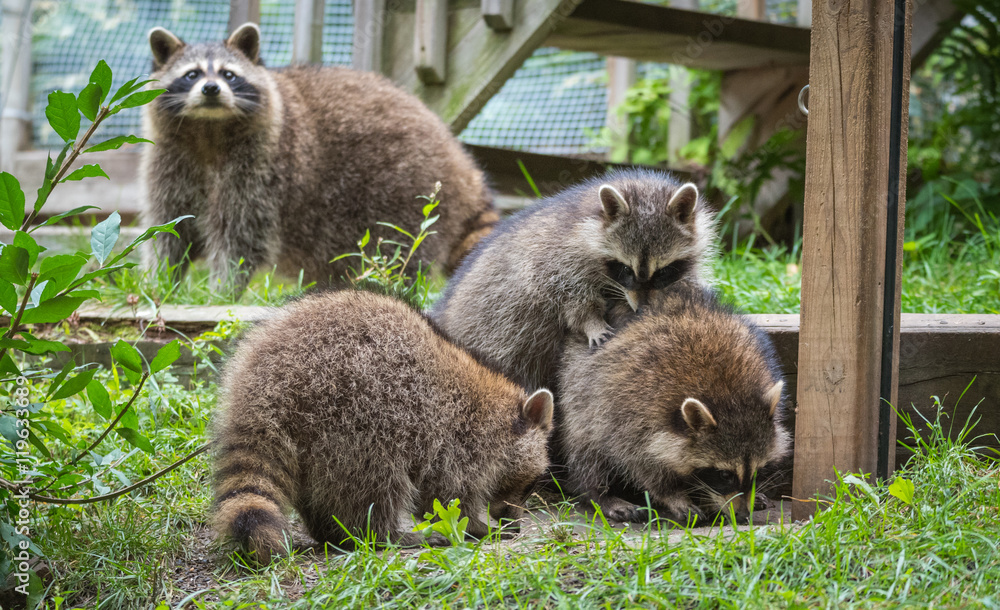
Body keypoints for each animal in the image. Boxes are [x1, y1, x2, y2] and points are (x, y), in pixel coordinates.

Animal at [142, 23, 498, 295]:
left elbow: (240, 238)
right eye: (191, 75)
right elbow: (169, 226)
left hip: (409, 192)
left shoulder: (264, 166)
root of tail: (461, 163)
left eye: (229, 75)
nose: (211, 89)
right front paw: (161, 280)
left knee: (398, 252)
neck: (209, 130)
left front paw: (223, 290)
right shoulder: (170, 159)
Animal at [212, 290, 553, 559]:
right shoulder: (460, 440)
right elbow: (447, 496)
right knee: (375, 482)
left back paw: (333, 532)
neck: (499, 413)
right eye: (530, 485)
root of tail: (265, 384)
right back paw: (385, 534)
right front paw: (476, 526)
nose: (513, 520)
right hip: (356, 414)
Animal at [431, 168, 716, 390]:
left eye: (663, 271)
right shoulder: (557, 258)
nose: (642, 308)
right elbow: (568, 295)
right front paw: (591, 321)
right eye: (625, 269)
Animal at [557, 282, 790, 525]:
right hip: (580, 390)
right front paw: (673, 495)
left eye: (758, 471)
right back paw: (599, 493)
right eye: (725, 474)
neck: (729, 395)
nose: (743, 517)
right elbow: (641, 462)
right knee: (587, 447)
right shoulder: (631, 412)